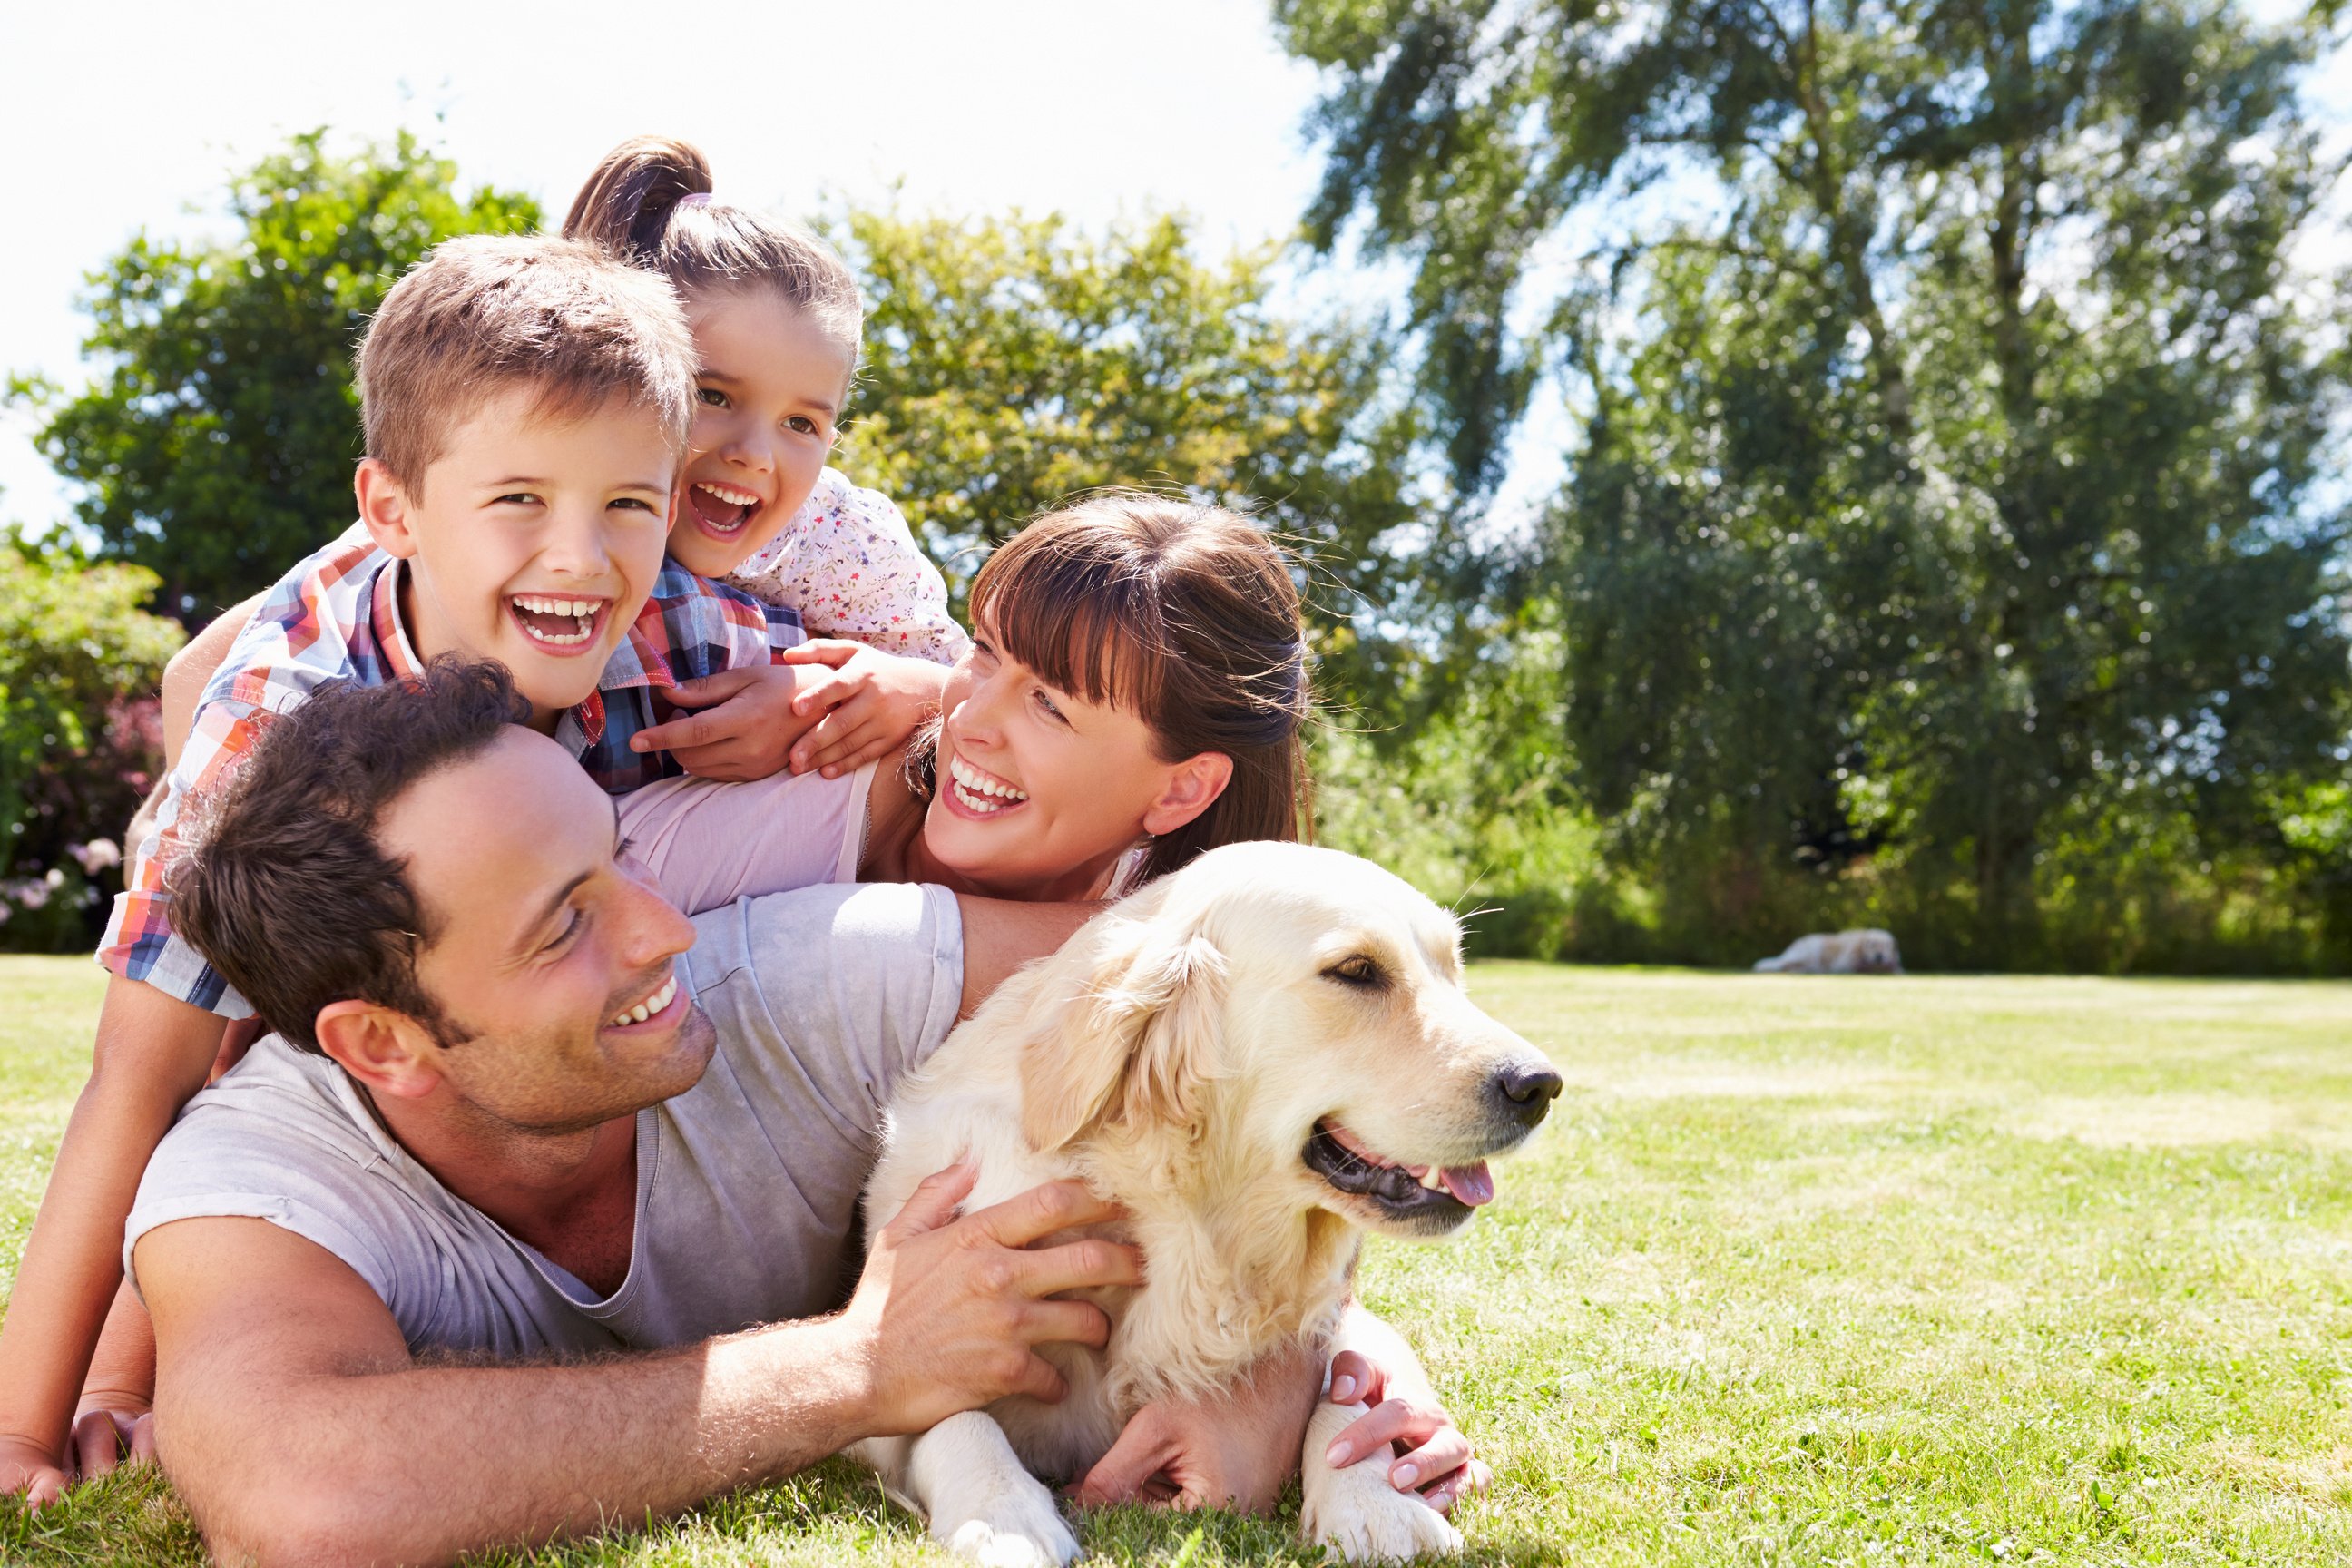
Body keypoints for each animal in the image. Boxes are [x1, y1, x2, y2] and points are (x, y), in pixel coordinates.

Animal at [851, 841, 1562, 1561]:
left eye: (1453, 969)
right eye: (1357, 971)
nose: (1540, 1085)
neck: (1184, 1225)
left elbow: (1347, 1385)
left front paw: (1376, 1504)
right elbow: (951, 1410)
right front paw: (1004, 1517)